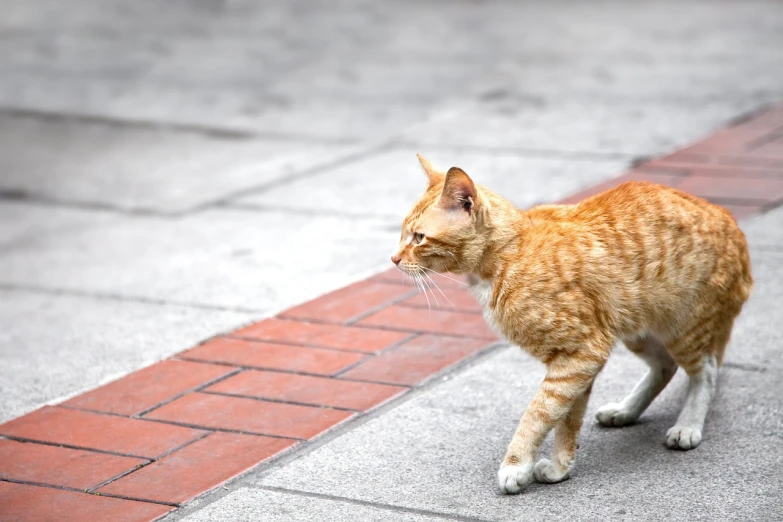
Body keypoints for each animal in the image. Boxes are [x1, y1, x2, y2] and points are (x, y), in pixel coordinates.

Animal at [392, 153, 752, 492]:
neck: (509, 255)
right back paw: (626, 410)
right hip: (637, 329)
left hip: (683, 327)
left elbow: (539, 413)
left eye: (419, 237)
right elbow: (566, 420)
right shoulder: (576, 364)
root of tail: (727, 216)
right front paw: (560, 467)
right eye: (403, 235)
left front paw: (516, 465)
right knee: (665, 366)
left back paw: (688, 425)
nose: (393, 260)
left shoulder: (581, 354)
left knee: (705, 372)